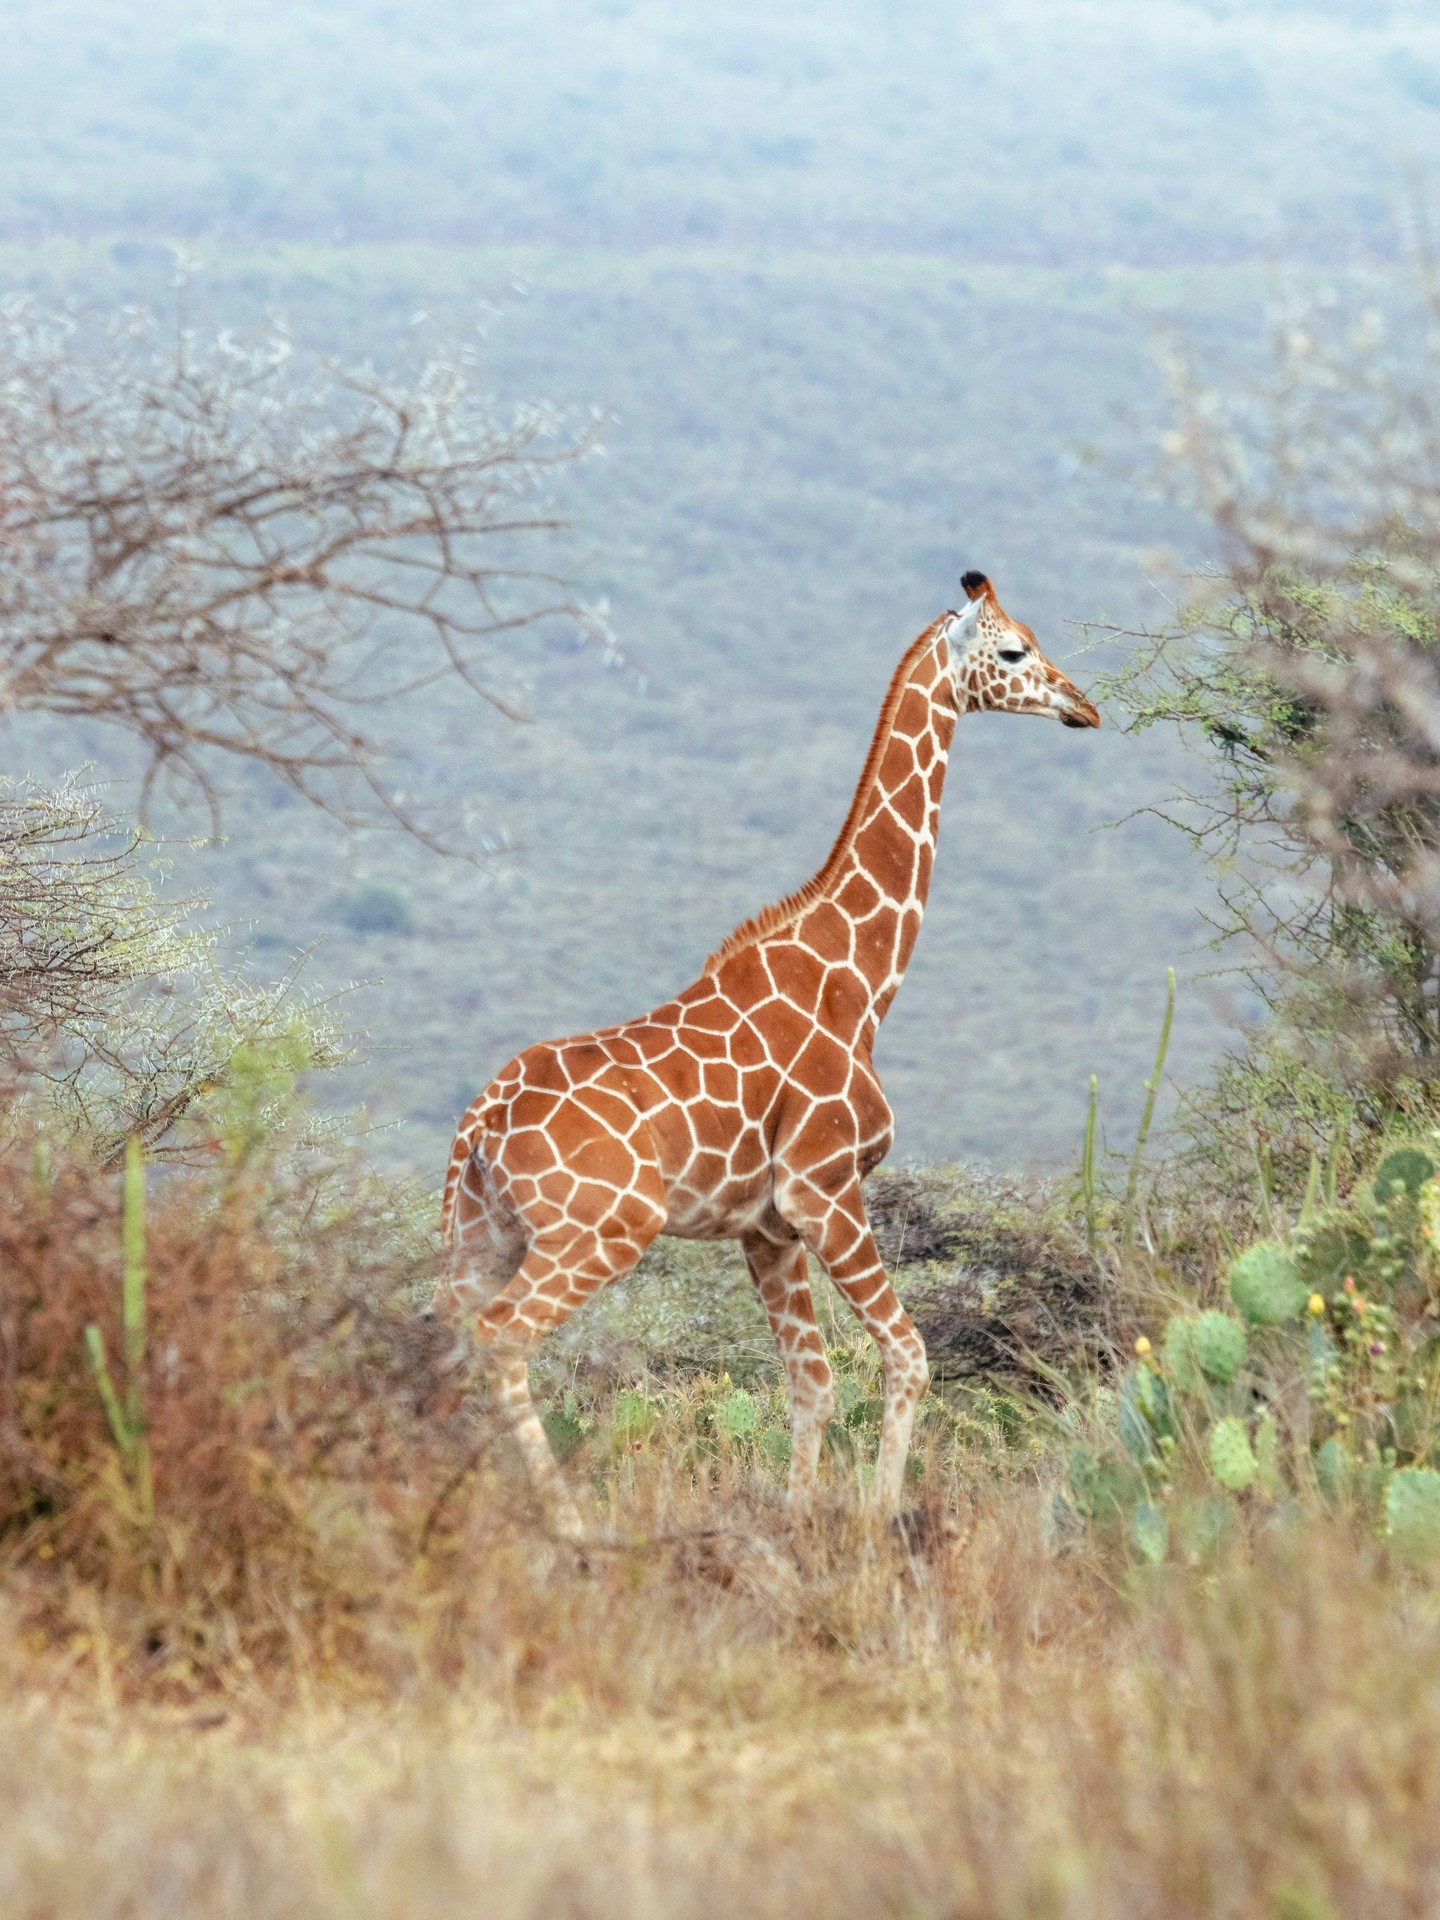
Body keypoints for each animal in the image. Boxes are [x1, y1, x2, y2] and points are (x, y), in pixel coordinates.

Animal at [441, 571, 1101, 1539]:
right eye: (1014, 650)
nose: (1083, 704)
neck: (859, 982)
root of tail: (481, 1123)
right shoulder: (824, 1187)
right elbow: (907, 1355)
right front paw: (878, 1516)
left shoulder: (765, 1223)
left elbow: (812, 1384)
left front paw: (800, 1517)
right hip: (597, 1231)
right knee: (499, 1338)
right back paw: (566, 1523)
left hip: (481, 1232)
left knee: (440, 1336)